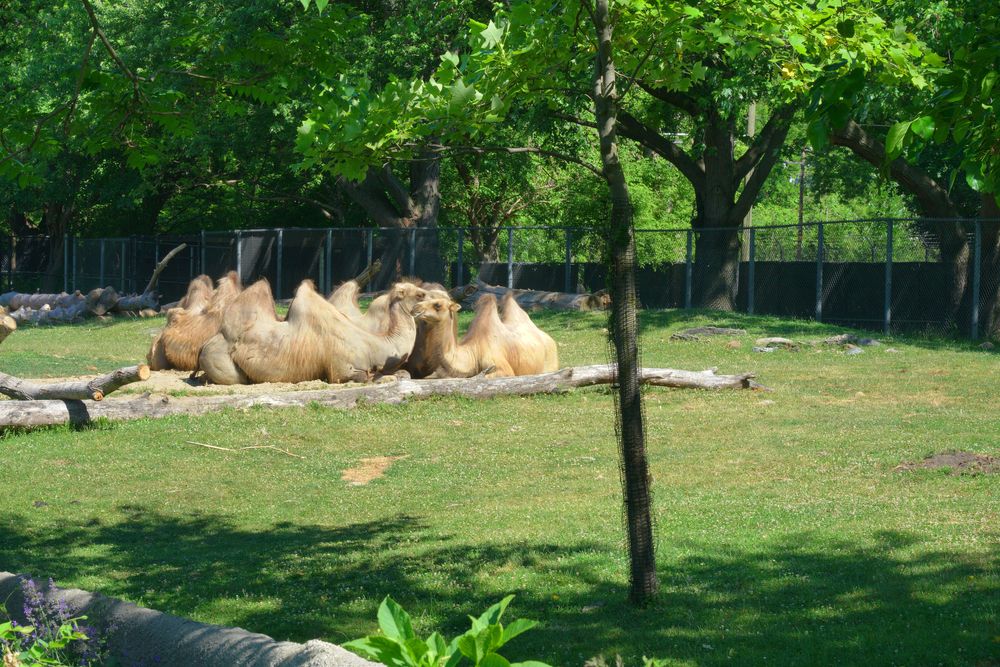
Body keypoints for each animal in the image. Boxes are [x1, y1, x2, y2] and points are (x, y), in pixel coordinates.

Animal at [199, 279, 420, 385]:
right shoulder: (343, 370)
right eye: (420, 294)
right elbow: (365, 377)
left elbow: (404, 373)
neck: (373, 345)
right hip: (217, 358)